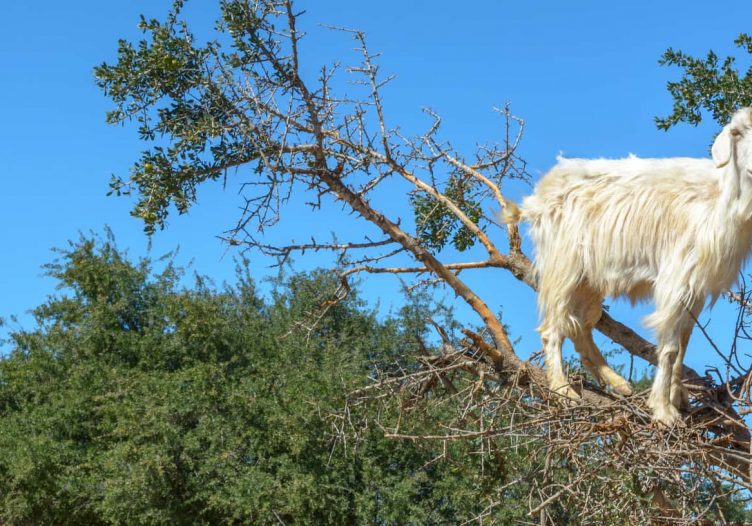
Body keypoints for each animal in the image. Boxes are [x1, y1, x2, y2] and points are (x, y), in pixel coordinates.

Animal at [507, 107, 752, 425]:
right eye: (737, 133)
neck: (720, 199)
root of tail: (539, 195)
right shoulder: (676, 276)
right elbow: (671, 347)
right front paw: (664, 411)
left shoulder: (696, 286)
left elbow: (684, 344)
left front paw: (679, 399)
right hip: (563, 265)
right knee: (553, 327)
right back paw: (563, 390)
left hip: (589, 279)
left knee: (580, 327)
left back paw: (617, 383)